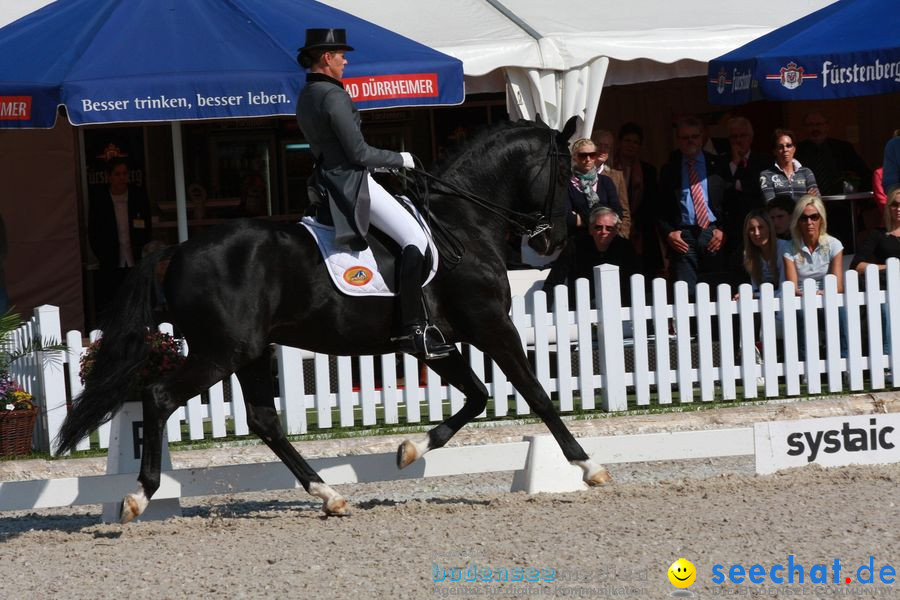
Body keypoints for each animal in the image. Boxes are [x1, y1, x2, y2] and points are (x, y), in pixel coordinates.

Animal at [58, 117, 612, 520]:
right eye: (568, 170)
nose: (554, 241)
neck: (462, 222)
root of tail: (176, 250)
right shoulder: (492, 326)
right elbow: (535, 393)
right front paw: (588, 466)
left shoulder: (435, 342)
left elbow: (477, 397)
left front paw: (410, 449)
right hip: (222, 352)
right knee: (159, 397)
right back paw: (139, 495)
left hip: (250, 351)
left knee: (263, 419)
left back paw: (327, 494)